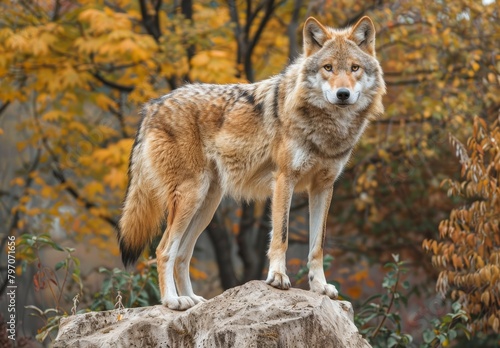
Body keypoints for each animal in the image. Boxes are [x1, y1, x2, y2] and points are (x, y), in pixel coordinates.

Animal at [118, 16, 386, 310]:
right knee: (164, 249)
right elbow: (281, 236)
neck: (327, 129)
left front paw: (320, 287)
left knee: (182, 254)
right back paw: (172, 301)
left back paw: (193, 300)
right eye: (328, 68)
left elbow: (318, 245)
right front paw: (278, 277)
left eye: (354, 68)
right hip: (191, 195)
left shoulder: (323, 187)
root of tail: (153, 105)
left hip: (207, 205)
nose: (343, 94)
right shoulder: (284, 179)